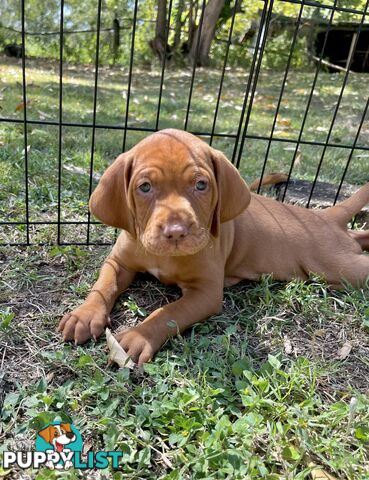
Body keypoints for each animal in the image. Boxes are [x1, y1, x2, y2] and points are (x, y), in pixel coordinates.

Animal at [57, 129, 368, 366]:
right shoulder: (119, 262)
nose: (176, 231)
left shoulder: (206, 293)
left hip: (341, 267)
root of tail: (326, 216)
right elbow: (104, 284)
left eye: (201, 185)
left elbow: (168, 313)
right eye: (144, 187)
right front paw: (85, 315)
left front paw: (139, 336)